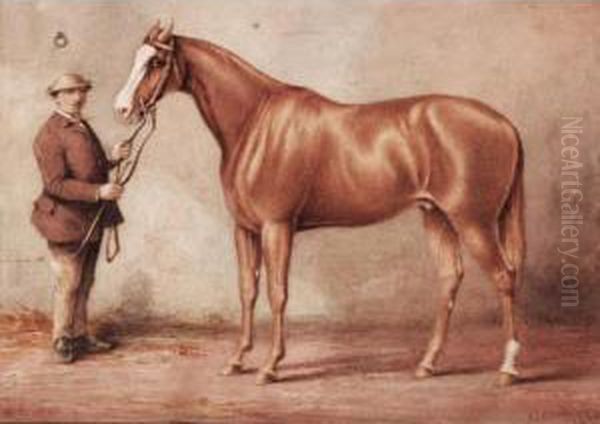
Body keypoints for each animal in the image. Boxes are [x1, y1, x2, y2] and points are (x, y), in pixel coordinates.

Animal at [113, 21, 524, 386]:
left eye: (156, 62)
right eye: (136, 58)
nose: (122, 109)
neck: (254, 123)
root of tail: (505, 125)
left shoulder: (277, 227)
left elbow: (278, 292)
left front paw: (270, 367)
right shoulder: (245, 229)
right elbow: (247, 291)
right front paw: (237, 360)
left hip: (472, 222)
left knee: (504, 277)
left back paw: (508, 368)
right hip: (437, 217)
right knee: (450, 280)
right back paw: (428, 364)